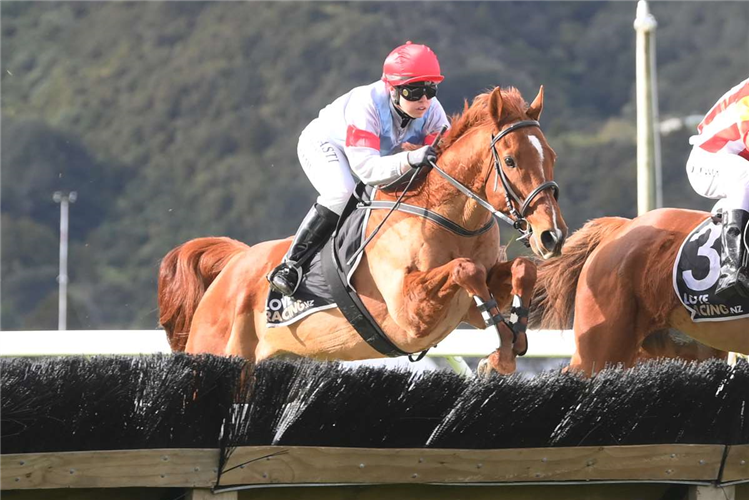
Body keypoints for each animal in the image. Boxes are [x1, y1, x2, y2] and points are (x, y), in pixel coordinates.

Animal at [159, 87, 568, 376]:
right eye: (510, 160)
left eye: (551, 156)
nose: (552, 236)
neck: (449, 219)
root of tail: (232, 266)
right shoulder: (410, 312)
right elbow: (466, 268)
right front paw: (499, 352)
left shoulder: (466, 309)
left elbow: (520, 270)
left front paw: (508, 345)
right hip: (216, 352)